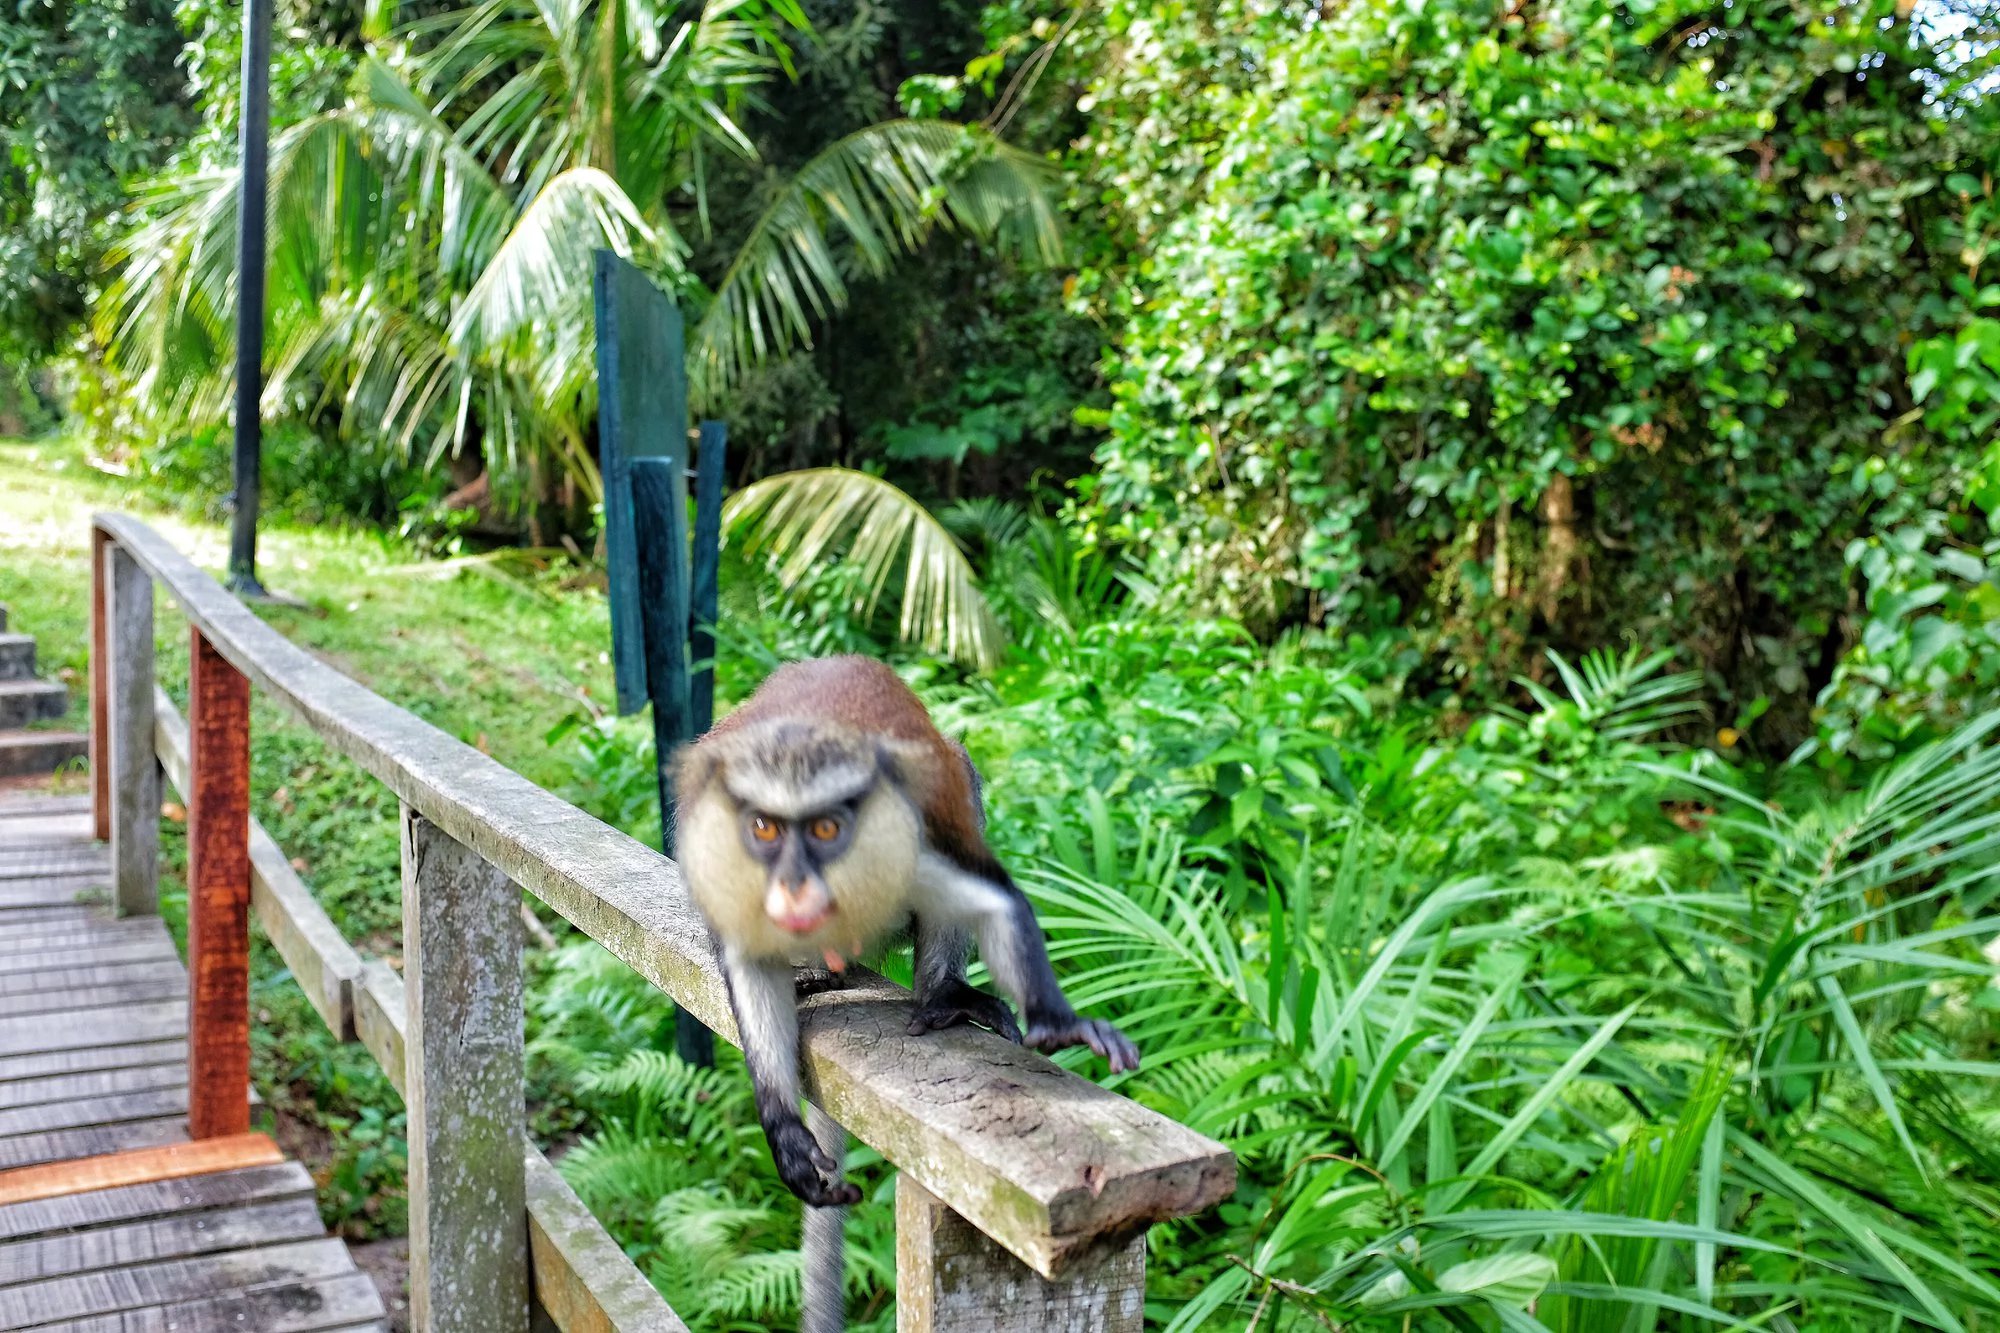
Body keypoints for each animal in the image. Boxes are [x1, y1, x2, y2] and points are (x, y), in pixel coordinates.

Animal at [676, 648, 1136, 1208]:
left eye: (825, 829)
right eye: (765, 829)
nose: (794, 884)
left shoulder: (907, 833)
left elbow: (994, 899)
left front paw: (1063, 1022)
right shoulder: (724, 856)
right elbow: (749, 961)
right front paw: (784, 1130)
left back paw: (941, 992)